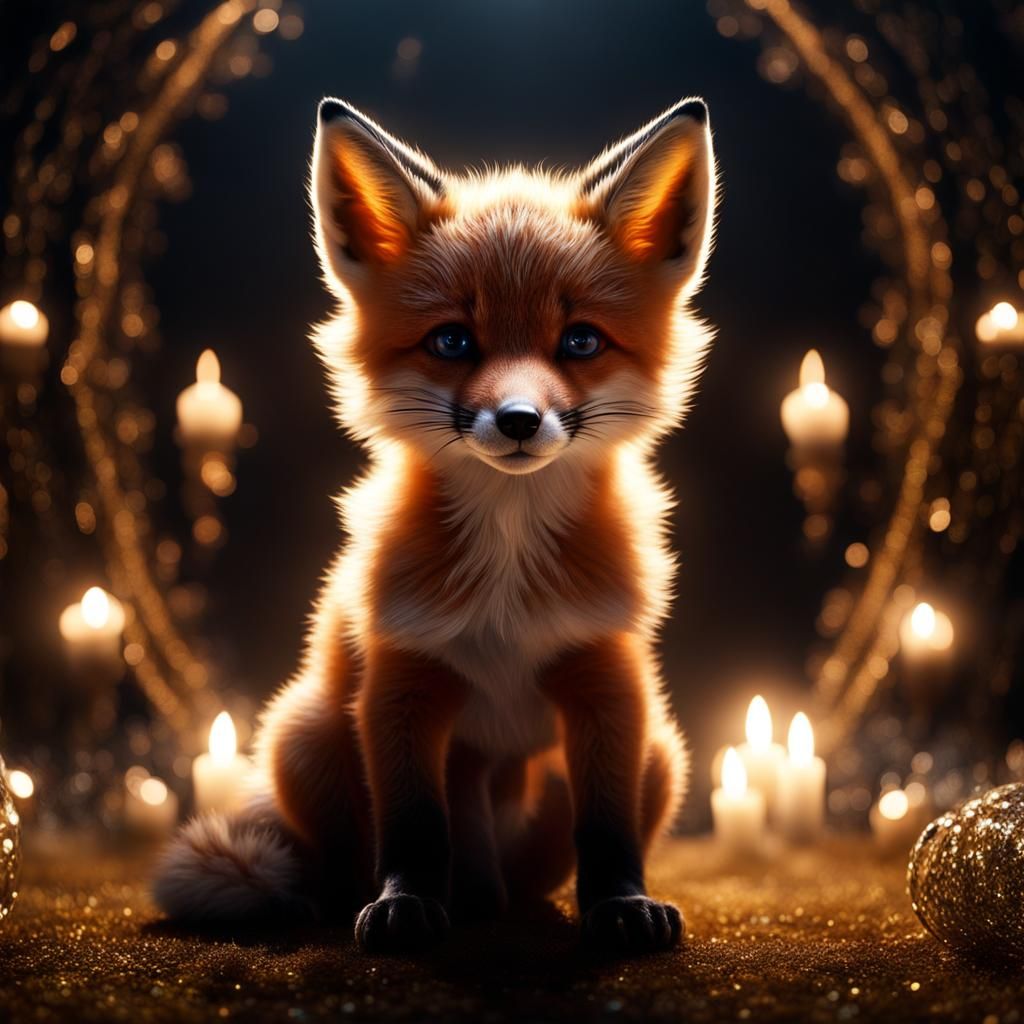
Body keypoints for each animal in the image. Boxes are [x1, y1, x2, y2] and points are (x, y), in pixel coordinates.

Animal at [153, 94, 718, 955]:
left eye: (580, 340)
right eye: (452, 340)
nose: (518, 420)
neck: (509, 575)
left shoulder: (607, 678)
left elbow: (608, 827)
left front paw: (620, 904)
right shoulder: (402, 681)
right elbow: (414, 825)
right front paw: (405, 904)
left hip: (662, 751)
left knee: (523, 877)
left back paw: (502, 904)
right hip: (304, 735)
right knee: (346, 860)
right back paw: (374, 900)